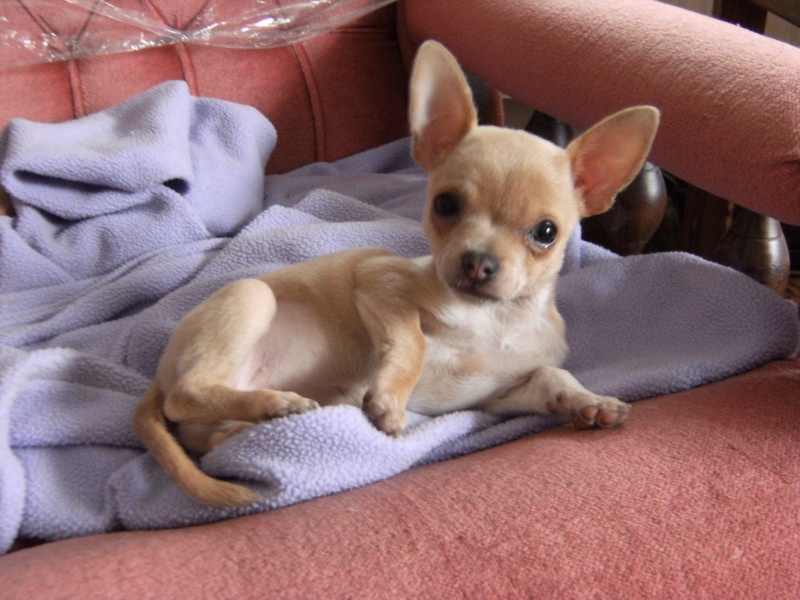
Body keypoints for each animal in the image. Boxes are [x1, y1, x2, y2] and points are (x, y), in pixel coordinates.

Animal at [133, 40, 660, 508]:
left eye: (546, 233)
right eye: (446, 205)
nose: (477, 262)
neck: (492, 321)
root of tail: (158, 376)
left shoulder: (497, 397)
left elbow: (552, 376)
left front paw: (588, 402)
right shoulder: (380, 280)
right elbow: (413, 341)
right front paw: (388, 398)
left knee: (208, 439)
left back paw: (267, 417)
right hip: (250, 298)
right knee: (185, 398)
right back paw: (275, 404)